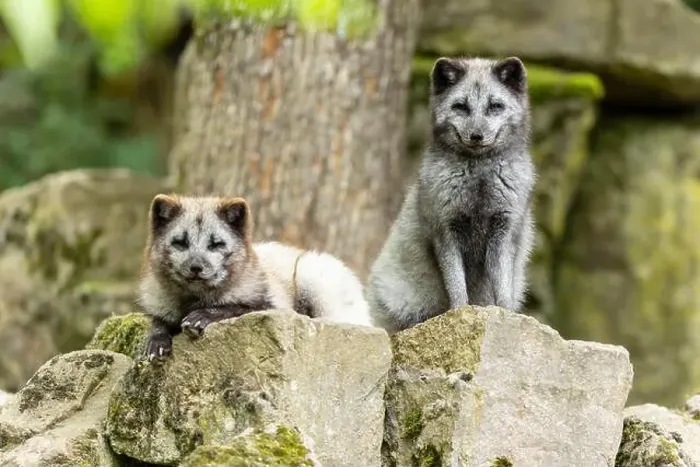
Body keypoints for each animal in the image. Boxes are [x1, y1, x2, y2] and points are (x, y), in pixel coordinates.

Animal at [138, 194, 372, 361]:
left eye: (216, 244)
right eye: (180, 243)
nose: (196, 267)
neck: (192, 301)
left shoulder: (274, 307)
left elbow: (237, 307)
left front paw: (203, 316)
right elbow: (157, 321)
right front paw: (156, 340)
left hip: (313, 275)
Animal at [366, 56, 536, 333]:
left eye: (495, 106)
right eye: (460, 107)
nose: (476, 135)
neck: (479, 179)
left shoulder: (504, 231)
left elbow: (502, 285)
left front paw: (506, 315)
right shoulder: (446, 231)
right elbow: (457, 286)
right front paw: (459, 314)